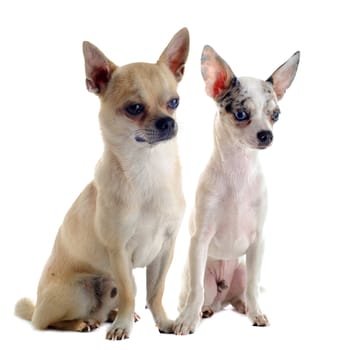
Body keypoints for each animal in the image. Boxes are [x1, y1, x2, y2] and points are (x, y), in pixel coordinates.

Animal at [14, 28, 189, 340]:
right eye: (134, 108)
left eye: (174, 102)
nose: (168, 122)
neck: (148, 168)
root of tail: (36, 306)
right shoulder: (118, 251)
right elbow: (132, 291)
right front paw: (122, 327)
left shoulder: (166, 248)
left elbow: (155, 291)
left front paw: (164, 322)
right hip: (78, 291)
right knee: (45, 323)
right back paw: (83, 323)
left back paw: (111, 315)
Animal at [174, 45, 300, 334]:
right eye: (241, 114)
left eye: (276, 115)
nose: (267, 135)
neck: (238, 171)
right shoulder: (200, 240)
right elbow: (196, 291)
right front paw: (187, 321)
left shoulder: (257, 243)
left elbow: (253, 287)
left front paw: (257, 313)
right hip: (201, 276)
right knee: (199, 295)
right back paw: (200, 310)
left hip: (241, 272)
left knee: (241, 293)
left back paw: (244, 307)